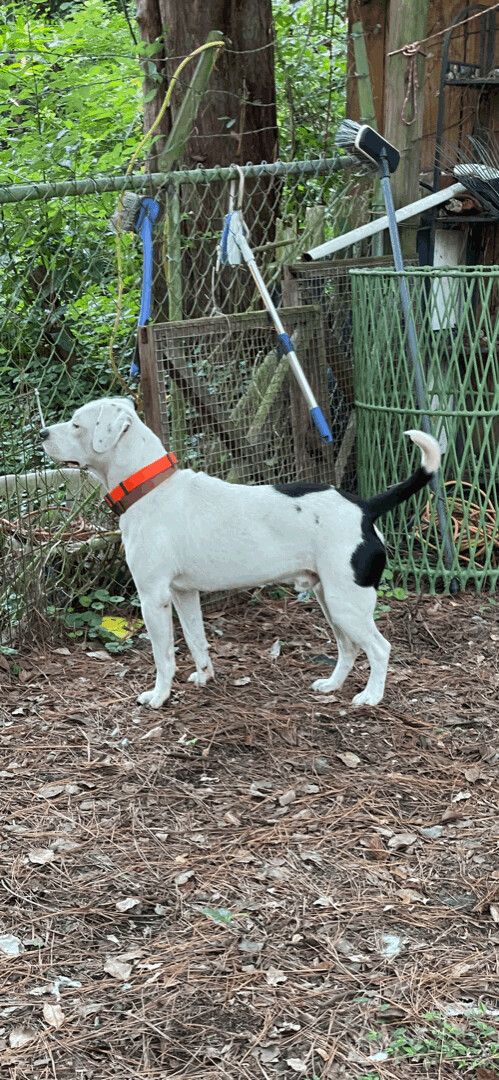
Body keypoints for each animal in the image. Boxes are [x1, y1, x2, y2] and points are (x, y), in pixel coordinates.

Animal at [42, 397, 440, 708]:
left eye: (76, 424)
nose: (43, 433)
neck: (150, 488)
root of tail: (365, 507)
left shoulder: (153, 597)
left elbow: (163, 655)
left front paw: (158, 697)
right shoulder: (184, 594)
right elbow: (196, 641)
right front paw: (204, 676)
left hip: (347, 604)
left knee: (379, 648)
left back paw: (371, 696)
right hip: (330, 600)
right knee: (348, 648)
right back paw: (332, 685)